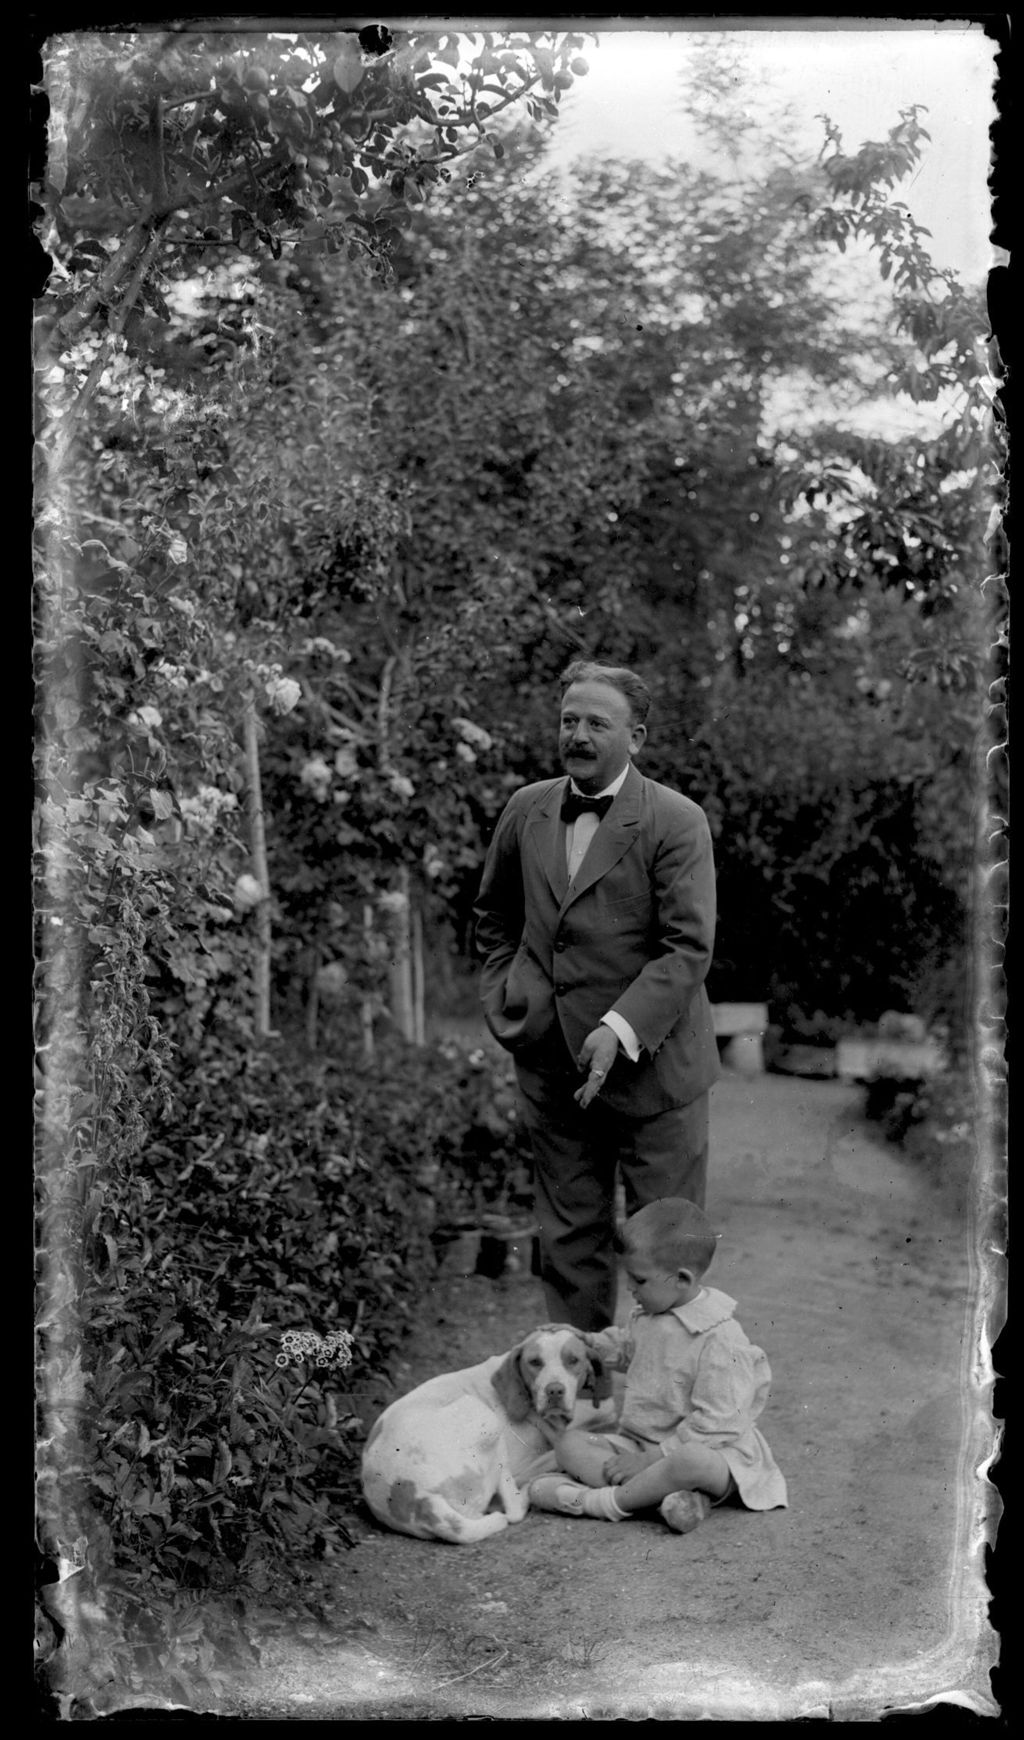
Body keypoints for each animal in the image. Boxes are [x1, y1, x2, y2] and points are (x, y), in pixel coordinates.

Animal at [361, 1322, 608, 1545]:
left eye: (573, 1360)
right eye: (535, 1362)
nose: (554, 1391)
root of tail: (421, 1498)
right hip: (484, 1416)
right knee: (515, 1508)